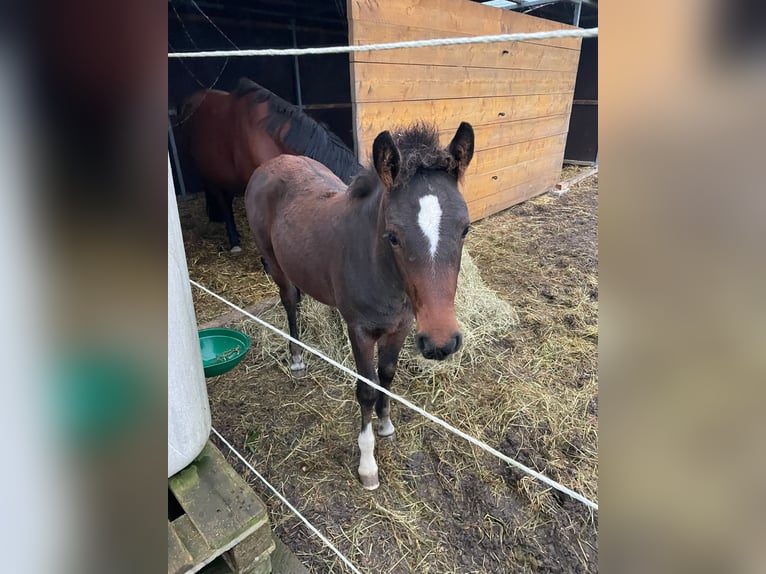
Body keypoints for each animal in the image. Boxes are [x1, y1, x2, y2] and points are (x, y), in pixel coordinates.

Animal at [248, 121, 474, 490]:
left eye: (465, 228)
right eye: (393, 236)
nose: (441, 342)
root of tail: (271, 164)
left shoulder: (402, 326)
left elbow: (387, 375)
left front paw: (386, 425)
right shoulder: (360, 331)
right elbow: (366, 389)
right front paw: (368, 466)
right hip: (275, 263)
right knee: (290, 300)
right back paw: (296, 358)